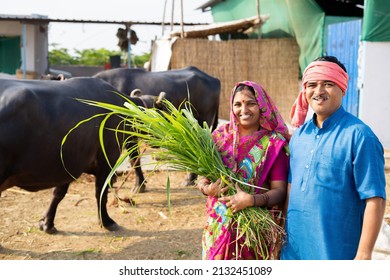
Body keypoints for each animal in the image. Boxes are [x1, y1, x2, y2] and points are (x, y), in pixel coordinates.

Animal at [0, 76, 142, 232]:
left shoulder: (69, 163)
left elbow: (59, 193)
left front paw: (47, 223)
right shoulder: (107, 159)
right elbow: (101, 192)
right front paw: (106, 221)